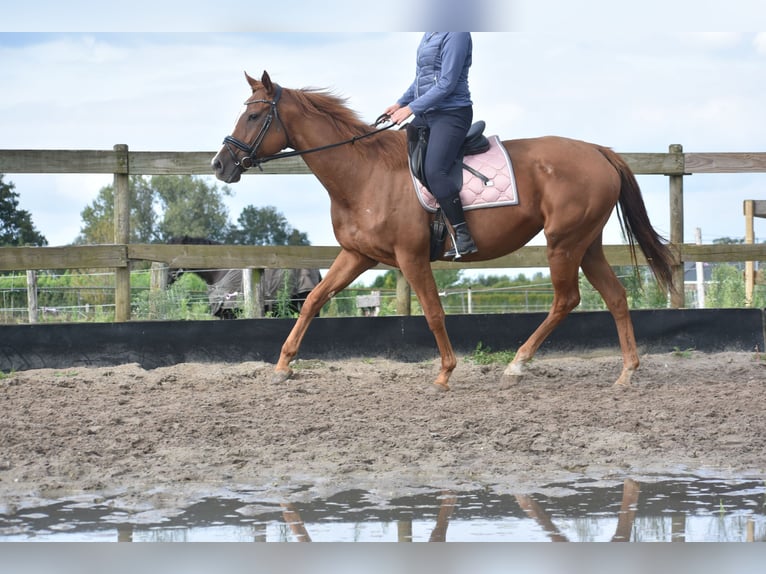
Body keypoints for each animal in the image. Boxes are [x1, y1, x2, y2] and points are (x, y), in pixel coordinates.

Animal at [213, 71, 676, 392]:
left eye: (254, 115)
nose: (220, 165)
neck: (364, 173)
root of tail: (599, 151)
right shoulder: (358, 255)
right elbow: (313, 302)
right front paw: (282, 366)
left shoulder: (411, 257)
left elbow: (434, 312)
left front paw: (444, 374)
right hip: (587, 243)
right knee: (615, 297)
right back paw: (626, 373)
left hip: (564, 243)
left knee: (567, 299)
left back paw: (517, 365)